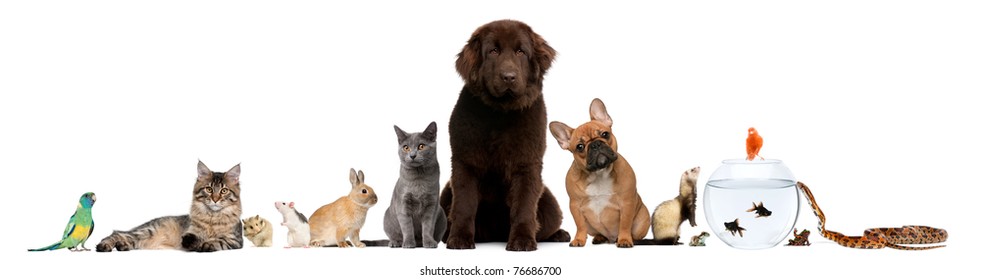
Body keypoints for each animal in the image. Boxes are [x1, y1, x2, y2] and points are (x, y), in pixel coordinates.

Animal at [440, 19, 572, 252]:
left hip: (550, 205)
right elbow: (464, 205)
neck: (500, 114)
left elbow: (524, 206)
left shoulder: (527, 165)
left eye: (521, 51)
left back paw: (559, 234)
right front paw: (459, 239)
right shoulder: (464, 163)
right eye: (493, 51)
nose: (509, 77)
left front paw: (522, 240)